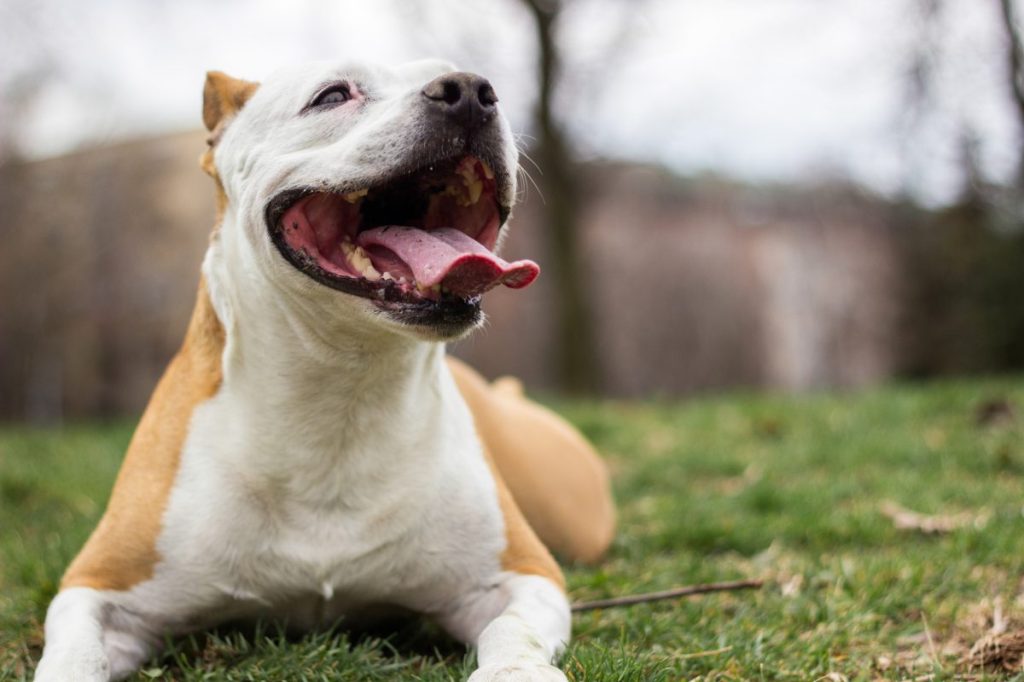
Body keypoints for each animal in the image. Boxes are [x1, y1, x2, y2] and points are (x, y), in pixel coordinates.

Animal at [34, 59, 614, 679]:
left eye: (478, 85)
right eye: (332, 95)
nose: (470, 92)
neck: (342, 386)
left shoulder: (522, 575)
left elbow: (511, 630)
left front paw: (516, 671)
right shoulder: (99, 586)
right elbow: (73, 655)